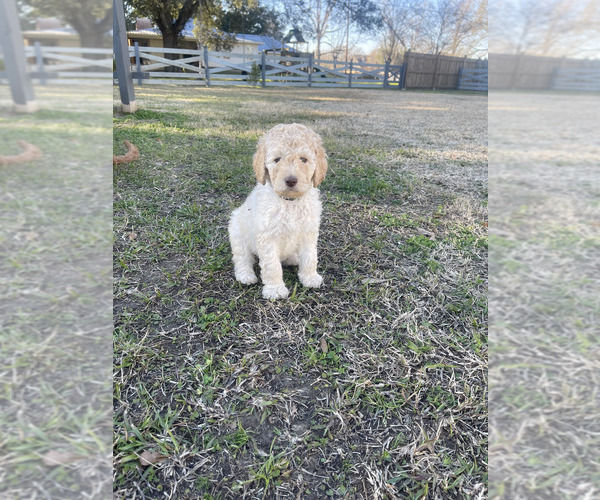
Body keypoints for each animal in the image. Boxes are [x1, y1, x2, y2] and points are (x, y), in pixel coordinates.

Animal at [227, 123, 328, 298]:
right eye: (277, 159)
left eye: (304, 159)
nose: (291, 180)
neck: (289, 202)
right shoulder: (267, 236)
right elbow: (271, 265)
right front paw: (275, 289)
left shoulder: (309, 232)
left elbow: (310, 257)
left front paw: (310, 277)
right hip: (237, 233)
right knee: (242, 258)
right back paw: (245, 275)